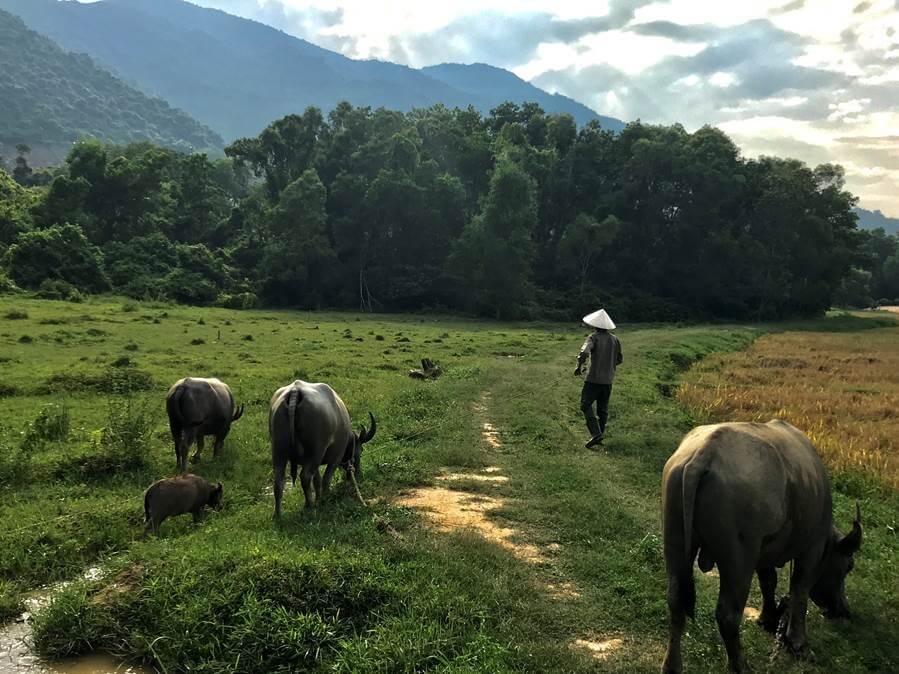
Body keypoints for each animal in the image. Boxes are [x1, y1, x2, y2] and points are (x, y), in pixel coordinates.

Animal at [270, 378, 376, 516]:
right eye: (361, 450)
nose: (358, 474)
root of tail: (295, 391)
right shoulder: (335, 457)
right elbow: (326, 478)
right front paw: (325, 499)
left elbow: (317, 481)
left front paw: (319, 498)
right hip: (317, 450)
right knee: (305, 477)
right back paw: (309, 506)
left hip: (278, 450)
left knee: (278, 481)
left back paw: (277, 515)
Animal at [660, 418, 864, 668]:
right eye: (848, 566)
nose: (842, 610)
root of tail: (704, 453)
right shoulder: (811, 550)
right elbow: (800, 591)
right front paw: (799, 643)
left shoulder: (764, 550)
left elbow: (769, 582)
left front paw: (768, 618)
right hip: (738, 559)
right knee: (728, 615)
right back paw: (740, 665)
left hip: (675, 538)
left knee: (676, 600)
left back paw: (672, 665)